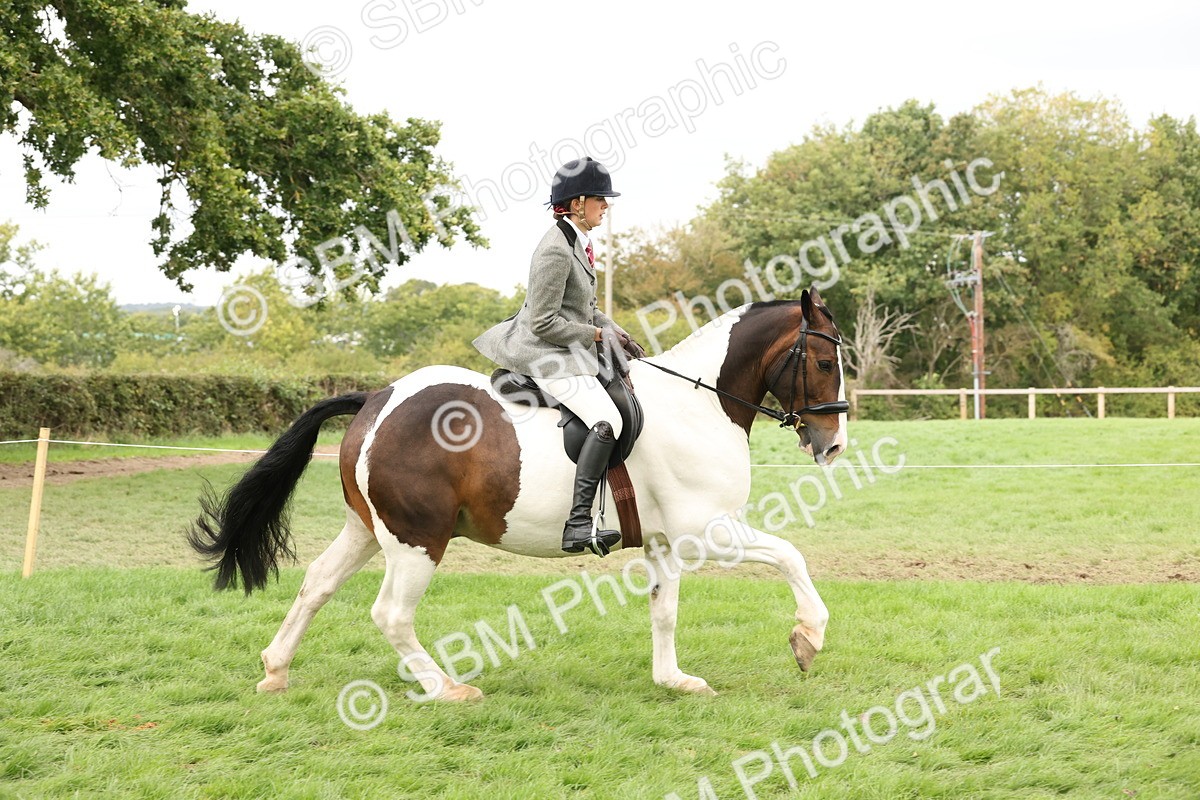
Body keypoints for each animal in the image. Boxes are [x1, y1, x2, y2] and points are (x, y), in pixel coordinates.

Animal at [188, 287, 849, 700]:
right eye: (822, 362)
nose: (834, 445)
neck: (700, 403)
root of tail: (378, 397)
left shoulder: (665, 540)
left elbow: (664, 609)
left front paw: (673, 680)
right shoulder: (707, 530)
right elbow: (791, 555)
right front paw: (808, 639)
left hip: (370, 529)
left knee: (317, 583)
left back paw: (276, 671)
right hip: (418, 539)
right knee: (391, 613)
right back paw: (446, 689)